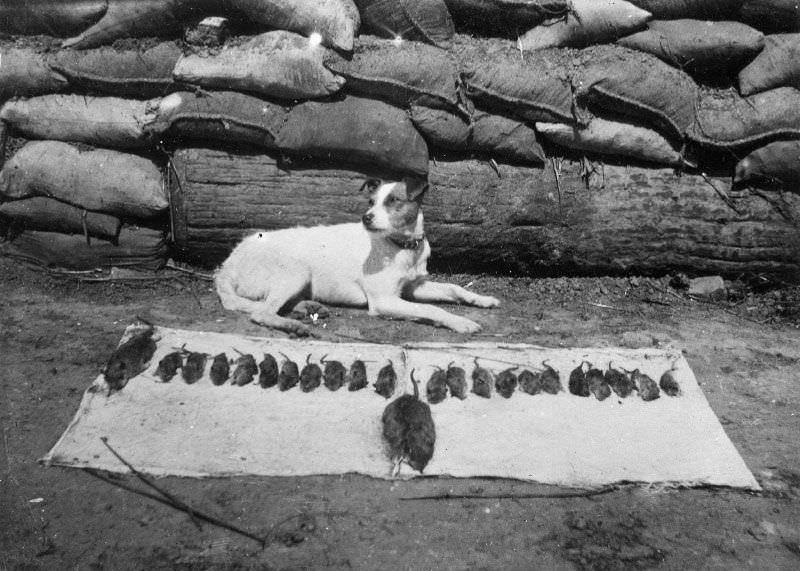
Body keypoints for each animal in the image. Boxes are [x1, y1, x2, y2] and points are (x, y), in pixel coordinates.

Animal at [212, 179, 500, 338]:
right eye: (371, 202)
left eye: (394, 200)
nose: (366, 218)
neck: (401, 246)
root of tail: (227, 265)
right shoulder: (384, 301)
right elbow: (430, 309)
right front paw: (461, 322)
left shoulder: (413, 286)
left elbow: (453, 288)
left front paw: (482, 299)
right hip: (297, 269)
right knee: (261, 312)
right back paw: (292, 325)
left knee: (269, 305)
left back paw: (306, 308)